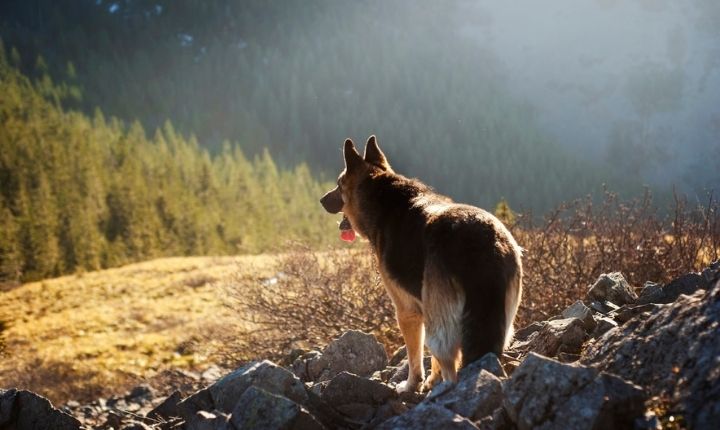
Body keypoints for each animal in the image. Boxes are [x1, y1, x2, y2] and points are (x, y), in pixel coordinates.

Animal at [320, 136, 524, 392]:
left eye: (339, 185)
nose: (321, 199)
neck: (383, 195)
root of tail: (483, 244)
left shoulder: (407, 311)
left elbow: (415, 357)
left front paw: (412, 385)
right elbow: (432, 362)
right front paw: (431, 381)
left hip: (440, 328)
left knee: (449, 363)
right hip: (502, 322)